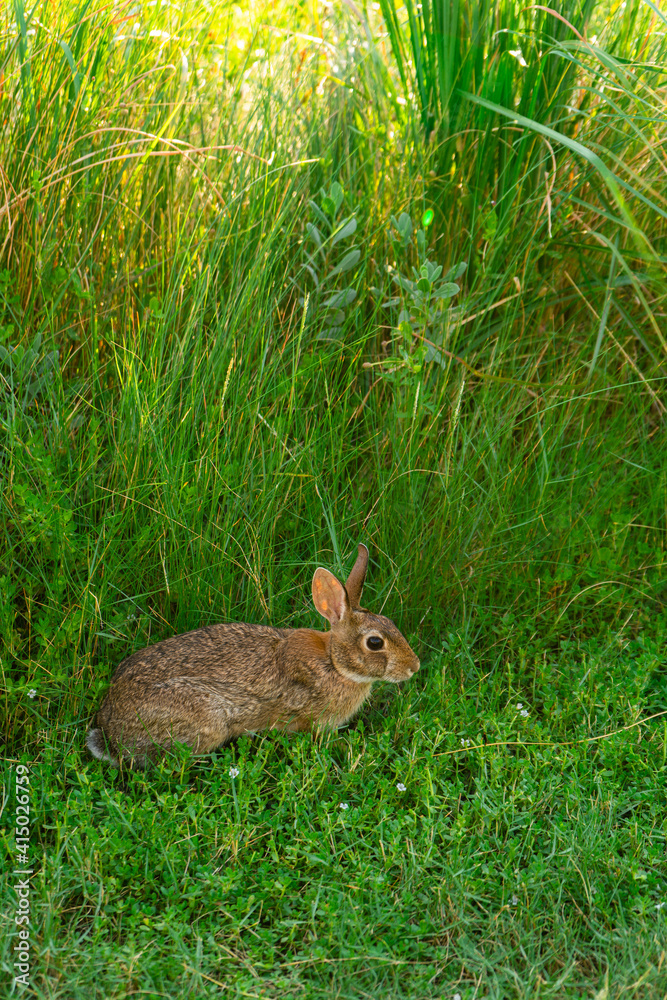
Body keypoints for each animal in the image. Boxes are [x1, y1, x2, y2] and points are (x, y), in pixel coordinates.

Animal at [86, 543, 419, 767]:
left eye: (390, 623)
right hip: (207, 719)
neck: (334, 664)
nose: (413, 667)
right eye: (375, 643)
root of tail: (110, 732)